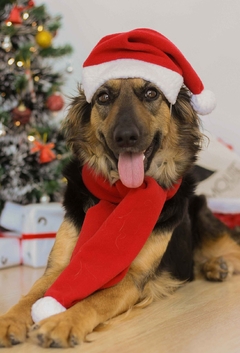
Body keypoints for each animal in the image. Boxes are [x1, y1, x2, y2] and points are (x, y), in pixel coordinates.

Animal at [0, 28, 240, 346]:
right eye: (103, 97)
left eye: (151, 93)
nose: (126, 137)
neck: (121, 195)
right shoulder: (59, 266)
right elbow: (30, 297)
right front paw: (9, 321)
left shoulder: (132, 278)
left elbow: (93, 300)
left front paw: (62, 322)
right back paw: (212, 267)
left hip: (203, 216)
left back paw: (218, 264)